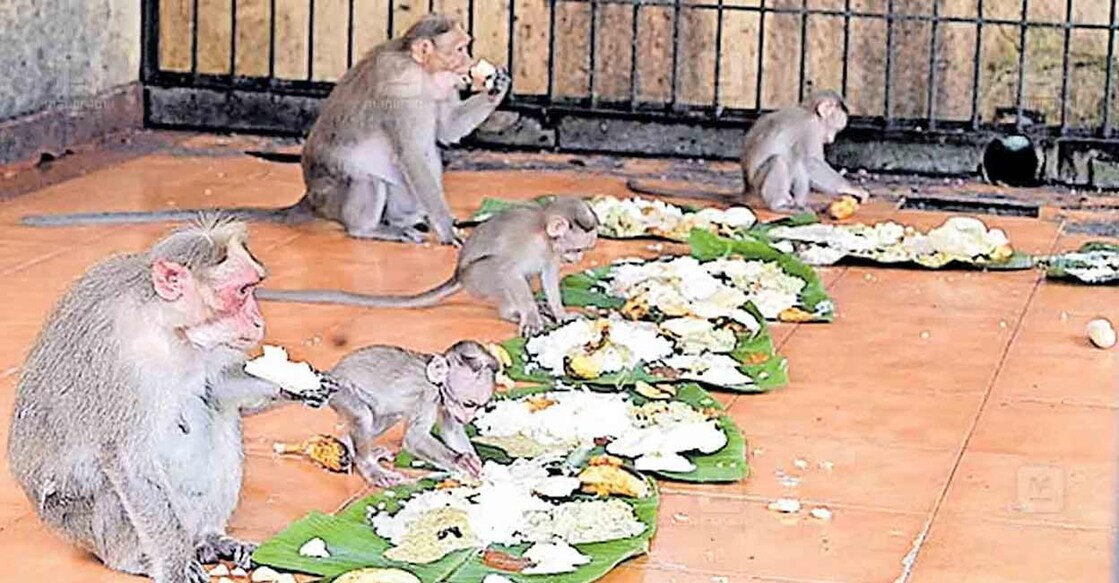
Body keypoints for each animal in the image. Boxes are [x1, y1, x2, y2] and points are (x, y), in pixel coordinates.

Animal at [6, 218, 336, 583]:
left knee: (218, 413)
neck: (167, 327)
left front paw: (296, 385)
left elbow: (216, 386)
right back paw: (139, 560)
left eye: (253, 286)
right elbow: (129, 463)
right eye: (242, 291)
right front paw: (176, 567)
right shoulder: (122, 355)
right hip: (82, 524)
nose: (258, 321)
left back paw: (209, 537)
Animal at [19, 13, 511, 246]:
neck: (421, 71)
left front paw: (497, 87)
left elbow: (444, 133)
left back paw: (406, 219)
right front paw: (447, 228)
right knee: (371, 181)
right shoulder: (401, 89)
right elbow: (413, 153)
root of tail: (308, 201)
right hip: (336, 195)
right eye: (461, 49)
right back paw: (372, 230)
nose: (471, 64)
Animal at [255, 196, 600, 336]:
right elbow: (508, 270)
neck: (544, 233)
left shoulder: (550, 254)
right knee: (495, 270)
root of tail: (458, 274)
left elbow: (549, 276)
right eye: (578, 248)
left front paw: (560, 312)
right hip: (477, 278)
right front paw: (529, 315)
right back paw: (510, 312)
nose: (579, 259)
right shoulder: (526, 244)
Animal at [322, 341, 499, 487]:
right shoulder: (428, 396)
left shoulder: (445, 404)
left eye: (478, 407)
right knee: (362, 415)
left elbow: (452, 431)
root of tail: (331, 375)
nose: (469, 418)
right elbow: (414, 439)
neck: (437, 386)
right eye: (469, 404)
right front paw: (461, 460)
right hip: (340, 392)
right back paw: (370, 467)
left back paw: (349, 445)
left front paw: (476, 464)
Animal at [625, 90, 869, 213]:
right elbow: (812, 163)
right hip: (759, 184)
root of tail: (747, 189)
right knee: (781, 161)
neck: (807, 110)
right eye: (834, 129)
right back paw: (780, 205)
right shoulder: (809, 129)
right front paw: (852, 189)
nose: (831, 138)